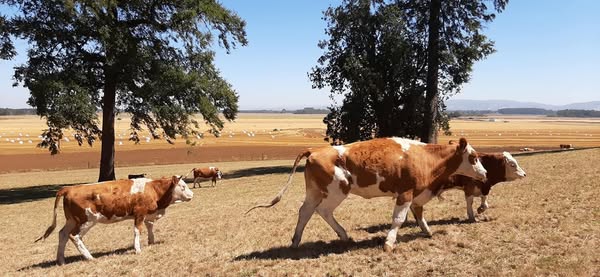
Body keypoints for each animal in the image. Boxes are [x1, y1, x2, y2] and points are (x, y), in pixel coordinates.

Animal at [35, 176, 193, 264]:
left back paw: (61, 260)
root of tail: (69, 189)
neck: (153, 189)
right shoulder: (139, 213)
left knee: (62, 234)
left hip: (72, 220)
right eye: (183, 186)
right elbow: (137, 231)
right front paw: (137, 249)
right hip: (86, 221)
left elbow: (150, 227)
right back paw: (89, 257)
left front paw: (151, 242)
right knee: (74, 236)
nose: (192, 195)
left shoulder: (148, 214)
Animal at [246, 137, 486, 251]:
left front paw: (427, 231)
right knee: (322, 211)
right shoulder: (405, 193)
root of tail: (315, 150)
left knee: (305, 211)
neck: (425, 157)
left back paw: (296, 241)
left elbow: (419, 214)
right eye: (474, 157)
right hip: (336, 191)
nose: (484, 173)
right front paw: (389, 243)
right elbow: (398, 219)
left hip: (314, 191)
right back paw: (343, 235)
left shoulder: (417, 193)